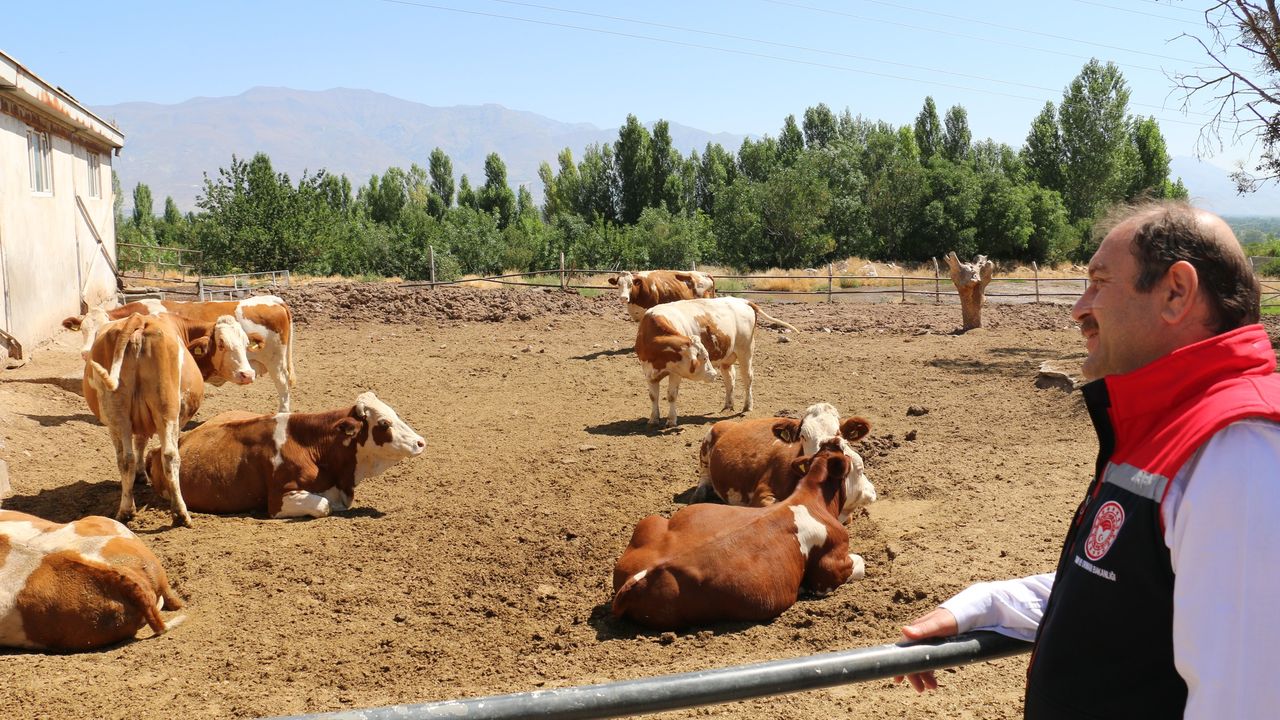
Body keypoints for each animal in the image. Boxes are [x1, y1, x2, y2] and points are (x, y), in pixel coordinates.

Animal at [85, 311, 257, 525]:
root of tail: (139, 319)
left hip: (117, 414)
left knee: (125, 459)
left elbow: (139, 442)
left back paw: (126, 510)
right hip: (167, 409)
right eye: (221, 343)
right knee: (170, 455)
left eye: (245, 342)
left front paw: (141, 475)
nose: (247, 374)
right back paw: (181, 512)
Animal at [606, 443, 865, 627]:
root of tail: (641, 575)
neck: (812, 499)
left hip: (650, 521)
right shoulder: (827, 573)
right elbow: (860, 563)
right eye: (858, 466)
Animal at [632, 297, 793, 425]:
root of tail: (742, 301)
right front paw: (653, 419)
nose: (713, 374)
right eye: (704, 358)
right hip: (727, 359)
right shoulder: (648, 373)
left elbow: (671, 396)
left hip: (746, 352)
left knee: (747, 378)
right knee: (730, 379)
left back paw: (747, 406)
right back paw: (728, 405)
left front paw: (671, 420)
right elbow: (653, 396)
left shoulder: (676, 374)